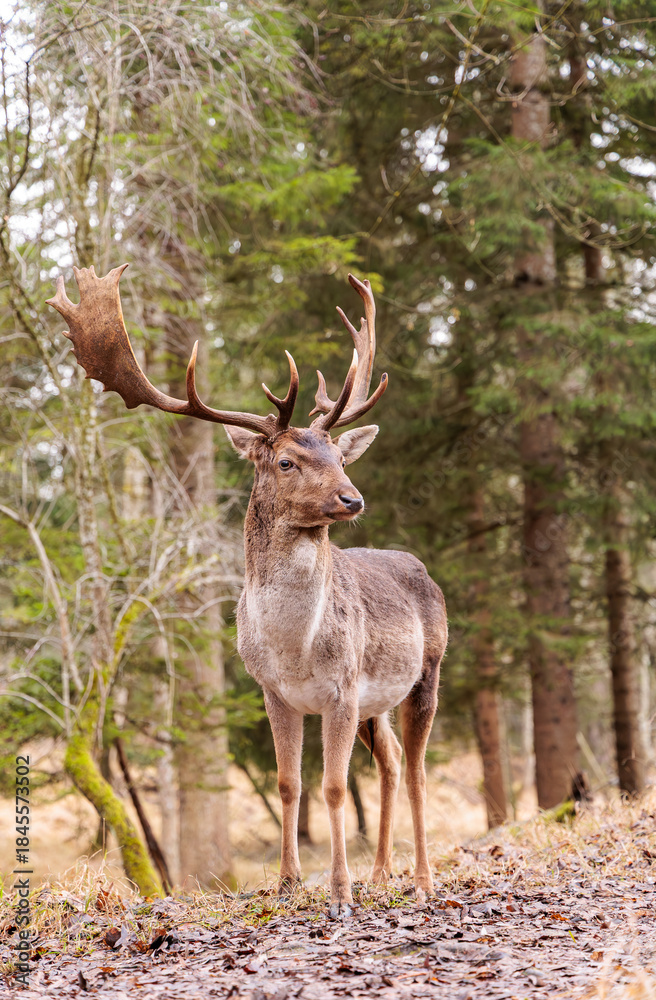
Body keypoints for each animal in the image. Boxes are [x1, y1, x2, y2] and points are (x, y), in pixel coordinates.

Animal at [47, 265, 448, 917]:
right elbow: (289, 784)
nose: (352, 498)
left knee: (414, 771)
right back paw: (382, 872)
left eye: (338, 454)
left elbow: (333, 788)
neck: (294, 647)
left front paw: (338, 892)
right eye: (286, 461)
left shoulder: (341, 688)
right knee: (389, 764)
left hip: (427, 671)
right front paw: (287, 883)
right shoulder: (274, 692)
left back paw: (420, 880)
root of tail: (422, 569)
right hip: (377, 703)